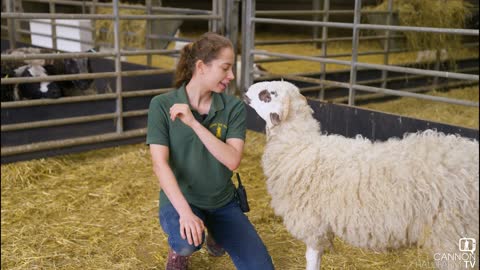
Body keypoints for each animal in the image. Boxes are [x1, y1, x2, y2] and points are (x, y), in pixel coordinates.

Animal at [246, 80, 478, 270]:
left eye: (268, 94)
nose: (246, 91)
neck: (300, 146)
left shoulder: (312, 222)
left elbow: (312, 258)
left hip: (451, 233)